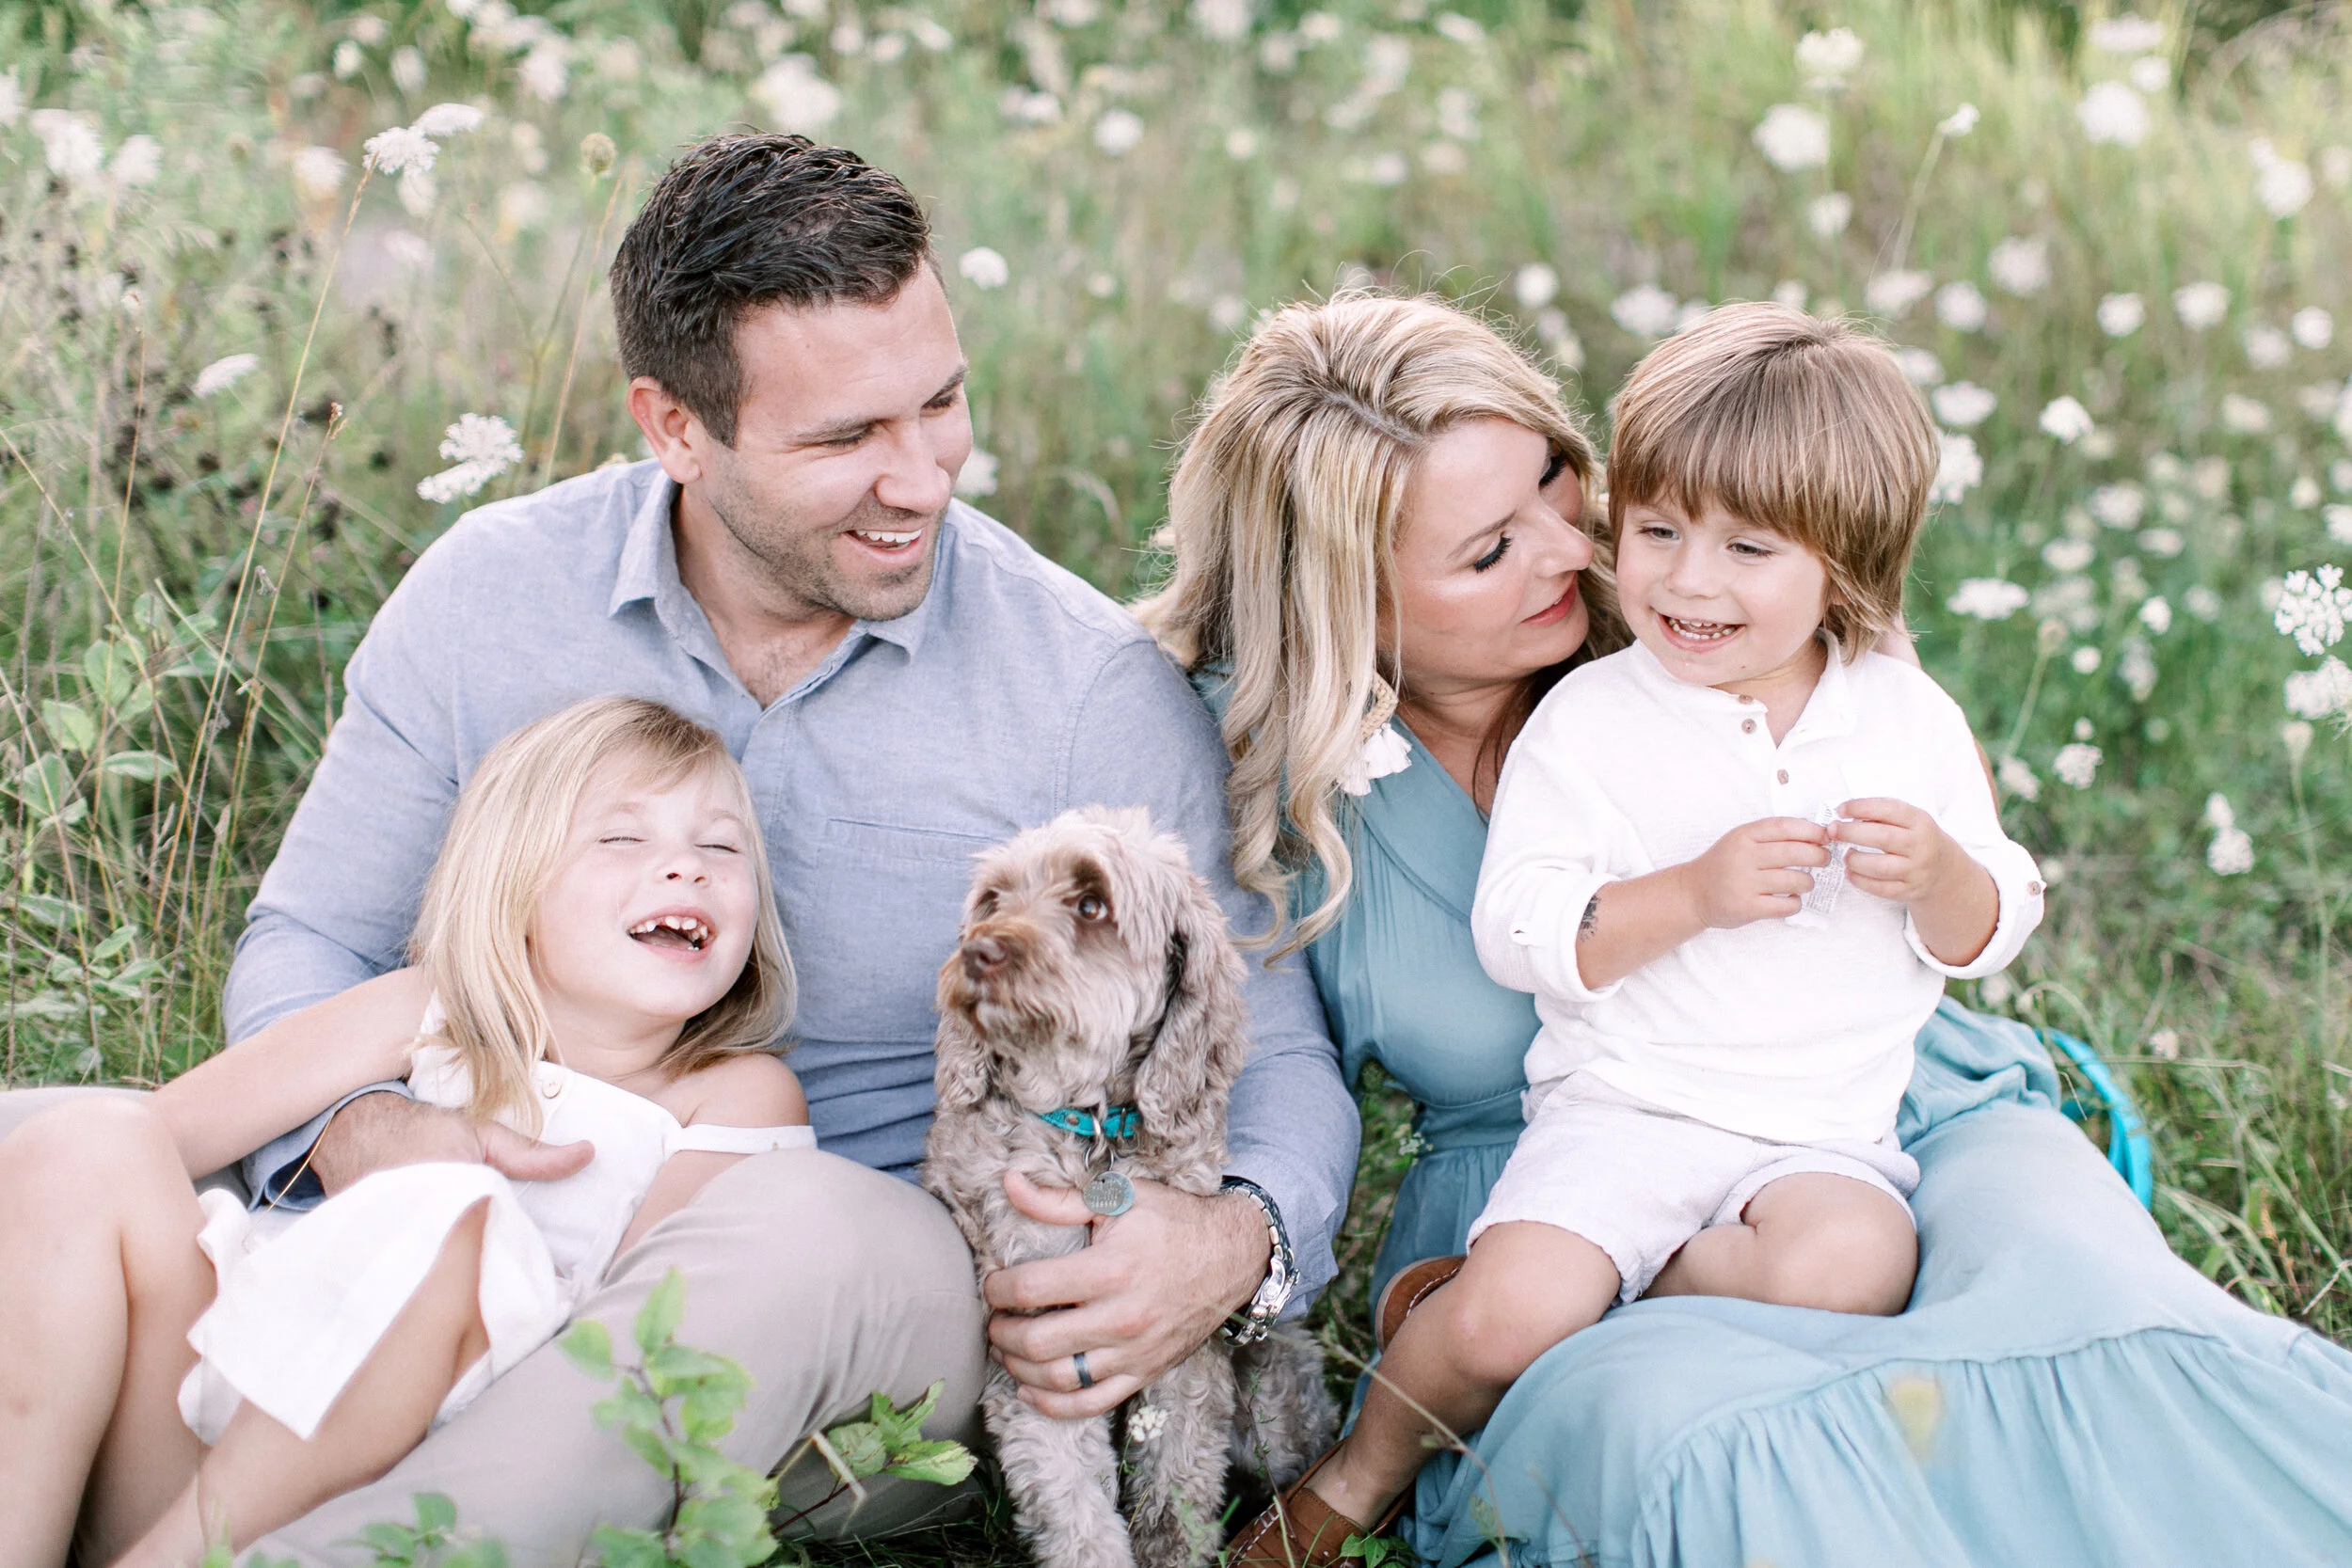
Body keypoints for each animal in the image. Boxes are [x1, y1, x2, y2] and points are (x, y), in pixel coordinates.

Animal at [922, 806, 1337, 1568]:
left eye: (1092, 904)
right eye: (993, 900)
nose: (978, 951)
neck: (1091, 1132)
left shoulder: (1183, 1354)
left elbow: (1176, 1500)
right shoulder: (1040, 1352)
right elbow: (1079, 1518)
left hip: (1271, 1401)